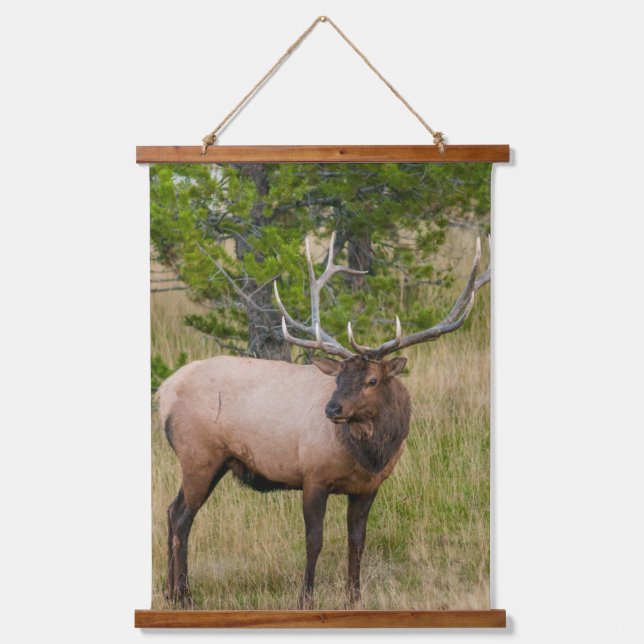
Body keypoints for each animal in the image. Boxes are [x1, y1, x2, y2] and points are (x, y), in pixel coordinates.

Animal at [158, 232, 490, 609]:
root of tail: (164, 393)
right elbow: (314, 540)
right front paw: (305, 598)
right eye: (339, 377)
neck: (370, 455)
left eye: (372, 380)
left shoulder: (369, 487)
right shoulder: (313, 476)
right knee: (182, 518)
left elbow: (357, 539)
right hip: (199, 456)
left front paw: (354, 596)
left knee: (172, 511)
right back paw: (184, 595)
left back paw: (169, 592)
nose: (331, 409)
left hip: (213, 462)